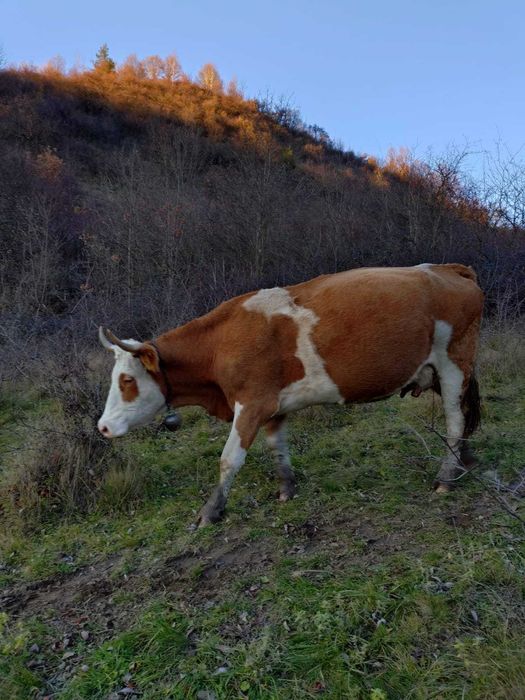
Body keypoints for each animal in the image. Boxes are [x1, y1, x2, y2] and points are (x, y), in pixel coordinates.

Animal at [98, 264, 484, 527]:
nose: (102, 427)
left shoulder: (252, 403)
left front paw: (210, 511)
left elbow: (229, 459)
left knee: (455, 419)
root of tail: (445, 268)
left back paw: (446, 476)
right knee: (466, 415)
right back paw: (464, 461)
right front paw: (286, 488)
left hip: (453, 364)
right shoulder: (274, 406)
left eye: (127, 380)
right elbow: (277, 447)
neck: (221, 342)